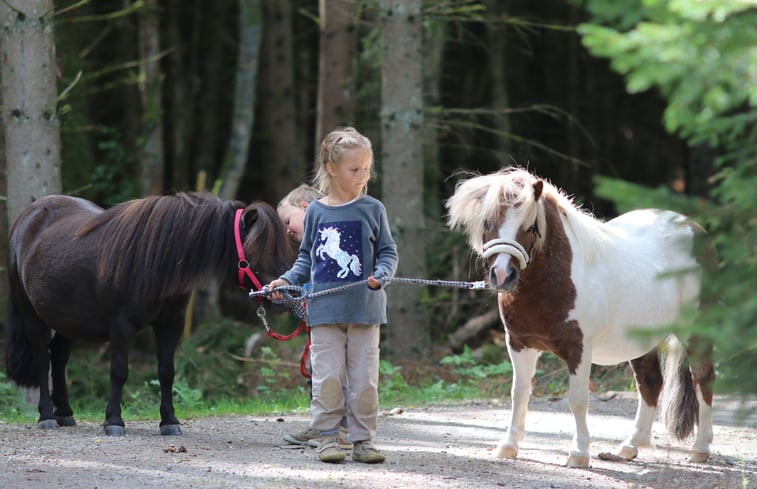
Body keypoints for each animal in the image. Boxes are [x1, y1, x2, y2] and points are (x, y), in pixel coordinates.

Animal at [5, 191, 290, 434]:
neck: (157, 260)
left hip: (68, 320)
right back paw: (47, 416)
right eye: (257, 249)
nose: (282, 296)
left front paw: (169, 421)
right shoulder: (122, 326)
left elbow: (166, 373)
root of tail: (28, 215)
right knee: (42, 360)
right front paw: (114, 421)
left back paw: (64, 413)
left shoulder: (170, 325)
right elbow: (119, 371)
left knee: (59, 359)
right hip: (32, 316)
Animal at [446, 169, 712, 468]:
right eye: (488, 222)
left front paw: (579, 453)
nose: (502, 276)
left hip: (696, 331)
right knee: (651, 383)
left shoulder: (579, 349)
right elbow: (519, 393)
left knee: (703, 378)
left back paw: (700, 449)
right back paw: (630, 446)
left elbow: (577, 399)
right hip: (640, 342)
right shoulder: (519, 344)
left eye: (530, 225)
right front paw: (508, 446)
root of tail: (692, 227)